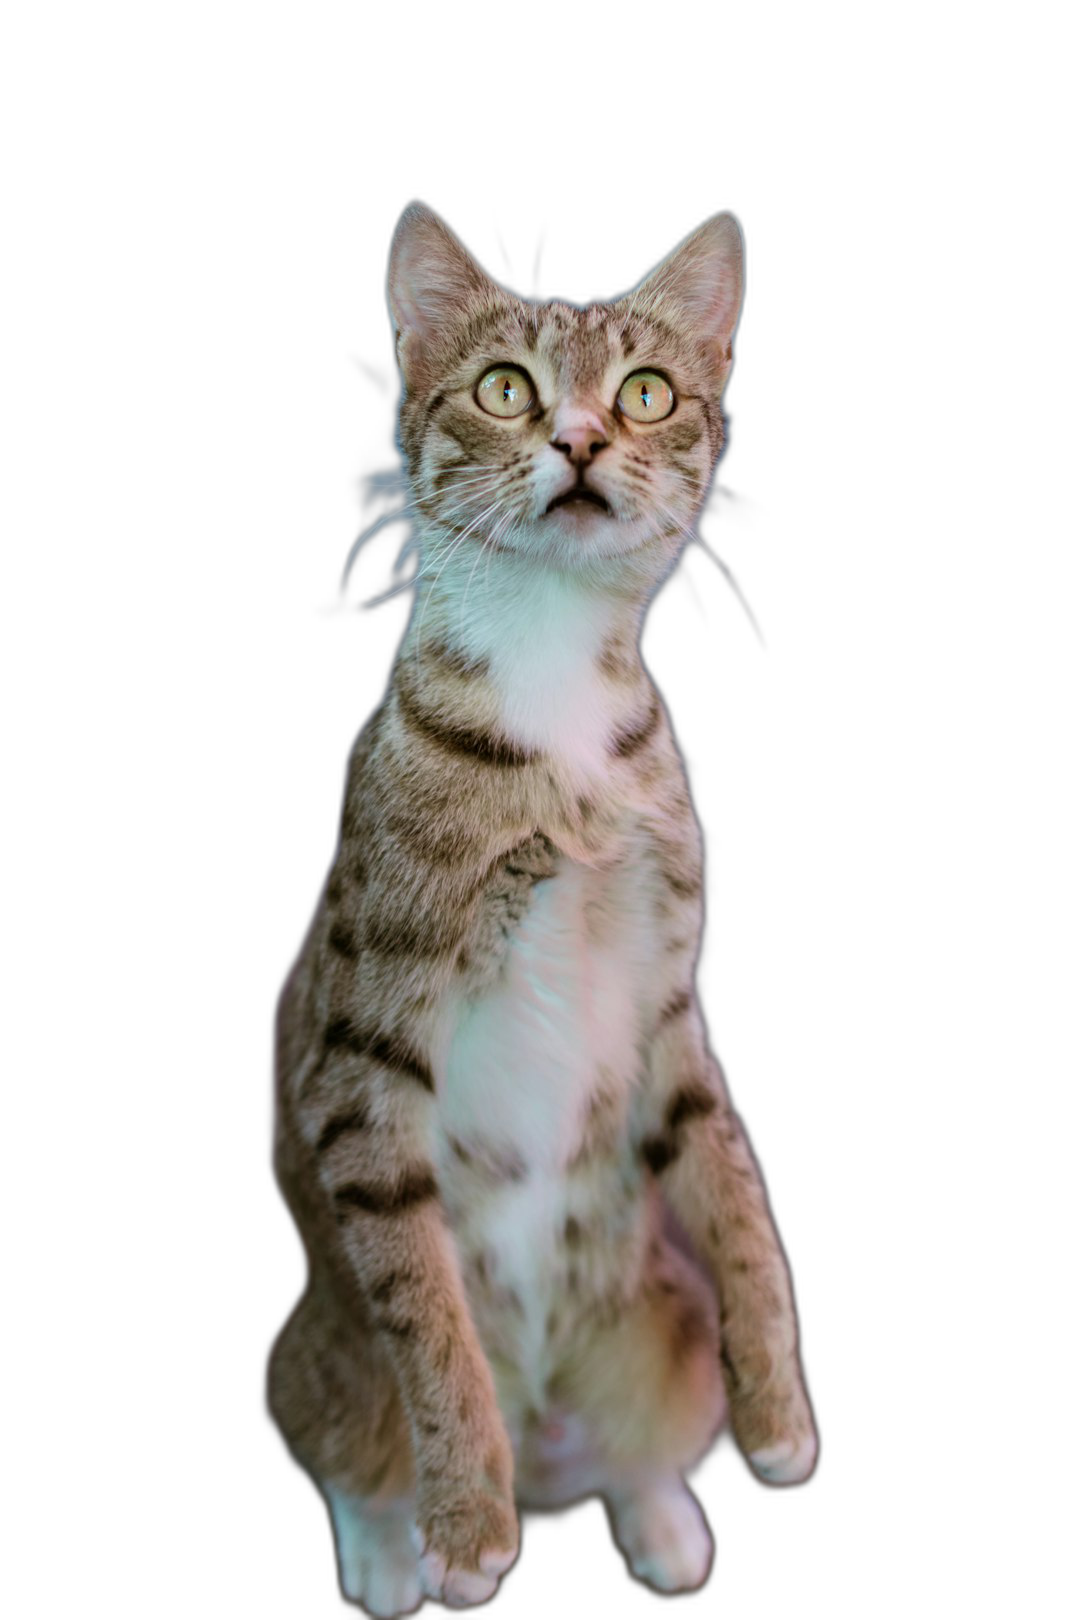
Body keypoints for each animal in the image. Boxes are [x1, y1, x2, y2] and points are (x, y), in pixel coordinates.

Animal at [268, 202, 819, 1620]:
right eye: (507, 390)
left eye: (647, 392)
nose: (578, 439)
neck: (553, 693)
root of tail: (557, 1427)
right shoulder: (361, 1057)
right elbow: (426, 1308)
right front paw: (466, 1521)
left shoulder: (667, 1004)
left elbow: (740, 1197)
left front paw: (781, 1406)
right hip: (320, 1359)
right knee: (344, 1446)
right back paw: (390, 1549)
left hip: (661, 1328)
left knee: (636, 1444)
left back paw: (660, 1513)